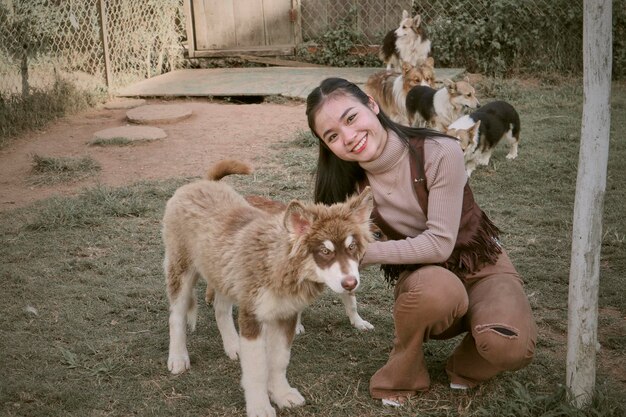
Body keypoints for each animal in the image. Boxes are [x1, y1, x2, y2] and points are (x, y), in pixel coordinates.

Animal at [163, 159, 372, 416]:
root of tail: (202, 183)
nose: (351, 283)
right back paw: (178, 357)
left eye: (352, 247)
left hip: (224, 273)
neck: (278, 264)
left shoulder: (286, 315)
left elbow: (279, 360)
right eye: (325, 251)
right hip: (181, 269)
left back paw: (233, 345)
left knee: (221, 310)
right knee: (177, 315)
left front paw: (281, 394)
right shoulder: (252, 317)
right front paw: (260, 406)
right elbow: (257, 370)